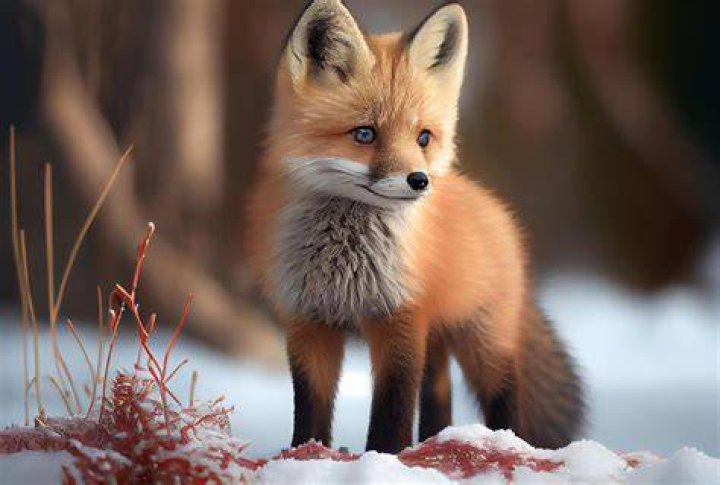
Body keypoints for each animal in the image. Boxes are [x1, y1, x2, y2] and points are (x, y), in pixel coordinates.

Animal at [246, 0, 584, 454]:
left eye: (423, 137)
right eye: (364, 134)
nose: (419, 181)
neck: (344, 264)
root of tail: (491, 206)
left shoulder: (401, 318)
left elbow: (392, 408)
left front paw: (384, 456)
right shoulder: (308, 323)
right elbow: (310, 408)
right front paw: (306, 454)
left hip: (484, 339)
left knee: (504, 393)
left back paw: (503, 442)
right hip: (437, 339)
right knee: (439, 392)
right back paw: (434, 442)